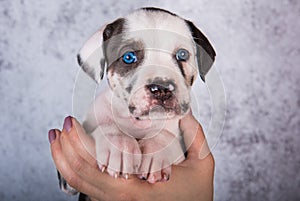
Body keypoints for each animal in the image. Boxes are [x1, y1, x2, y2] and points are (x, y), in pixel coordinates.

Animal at [57, 6, 214, 198]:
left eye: (182, 55)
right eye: (129, 57)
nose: (162, 88)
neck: (139, 122)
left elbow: (166, 136)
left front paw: (156, 150)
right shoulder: (68, 182)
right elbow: (107, 126)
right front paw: (119, 145)